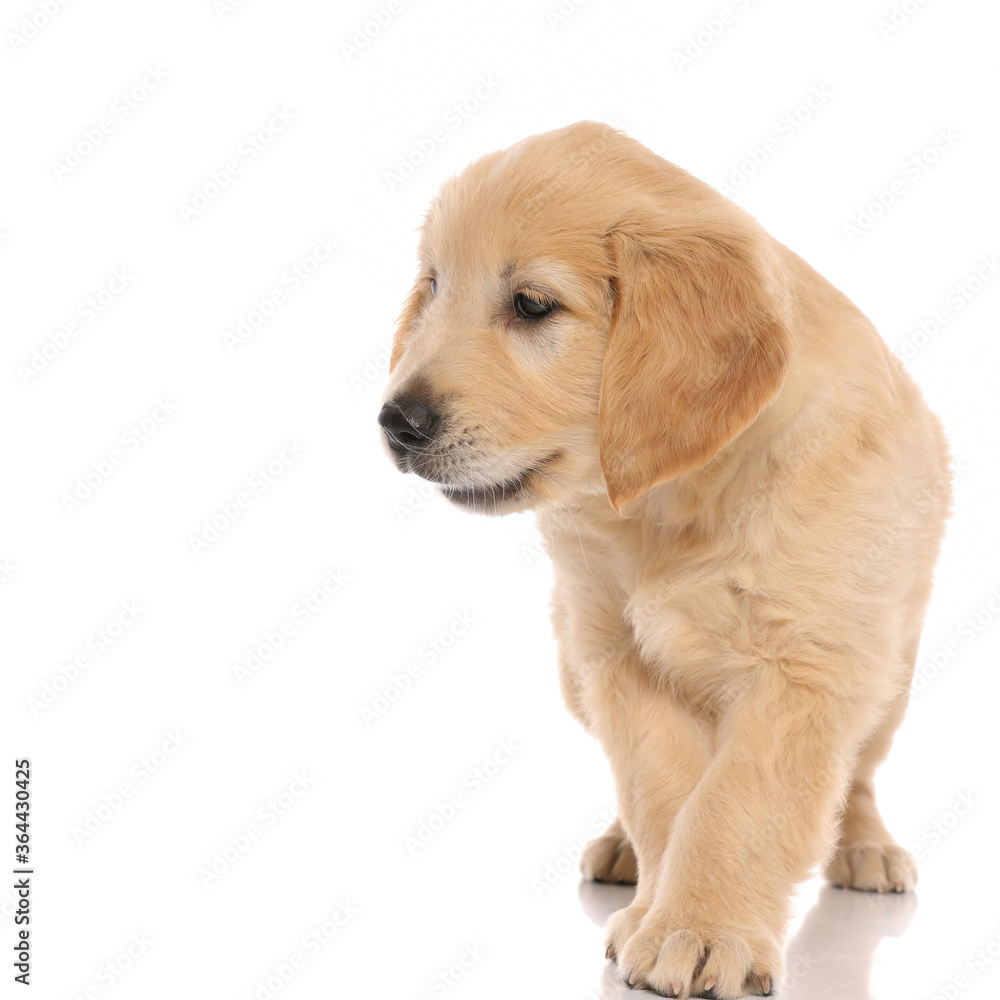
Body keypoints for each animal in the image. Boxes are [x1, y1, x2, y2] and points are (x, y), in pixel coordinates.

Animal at [378, 121, 948, 996]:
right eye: (433, 286)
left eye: (532, 305)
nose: (396, 423)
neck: (672, 508)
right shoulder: (615, 657)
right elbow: (665, 792)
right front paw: (664, 914)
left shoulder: (809, 668)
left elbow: (739, 803)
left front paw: (703, 930)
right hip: (571, 668)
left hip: (891, 674)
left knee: (854, 775)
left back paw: (864, 846)